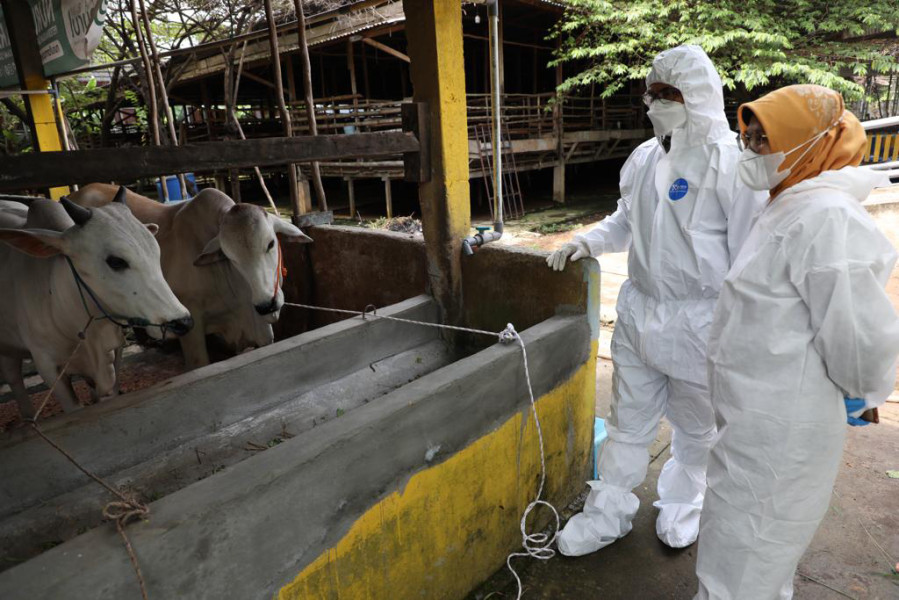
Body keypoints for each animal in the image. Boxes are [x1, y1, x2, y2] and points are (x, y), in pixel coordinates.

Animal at [0, 193, 192, 418]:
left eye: (156, 252)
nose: (182, 322)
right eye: (116, 261)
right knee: (14, 378)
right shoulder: (48, 367)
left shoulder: (113, 354)